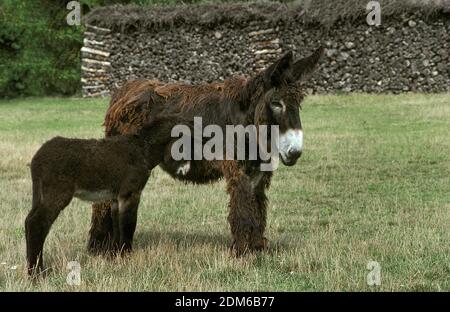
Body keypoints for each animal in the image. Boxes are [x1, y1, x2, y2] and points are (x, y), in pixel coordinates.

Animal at [25, 114, 185, 276]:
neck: (143, 150)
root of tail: (37, 158)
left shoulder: (115, 198)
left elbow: (117, 226)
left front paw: (116, 256)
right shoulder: (131, 193)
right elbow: (129, 225)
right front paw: (127, 257)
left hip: (40, 196)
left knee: (28, 221)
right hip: (56, 195)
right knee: (37, 223)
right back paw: (36, 273)